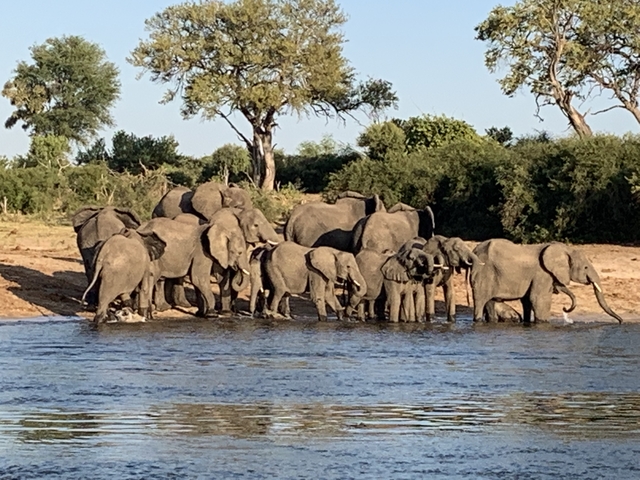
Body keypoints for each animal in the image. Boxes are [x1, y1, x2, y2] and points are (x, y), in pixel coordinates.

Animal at [470, 239, 623, 323]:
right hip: (483, 272)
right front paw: (543, 323)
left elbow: (527, 300)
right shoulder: (542, 274)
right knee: (480, 301)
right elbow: (538, 299)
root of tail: (475, 250)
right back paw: (477, 321)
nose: (621, 321)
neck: (565, 249)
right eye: (586, 267)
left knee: (490, 302)